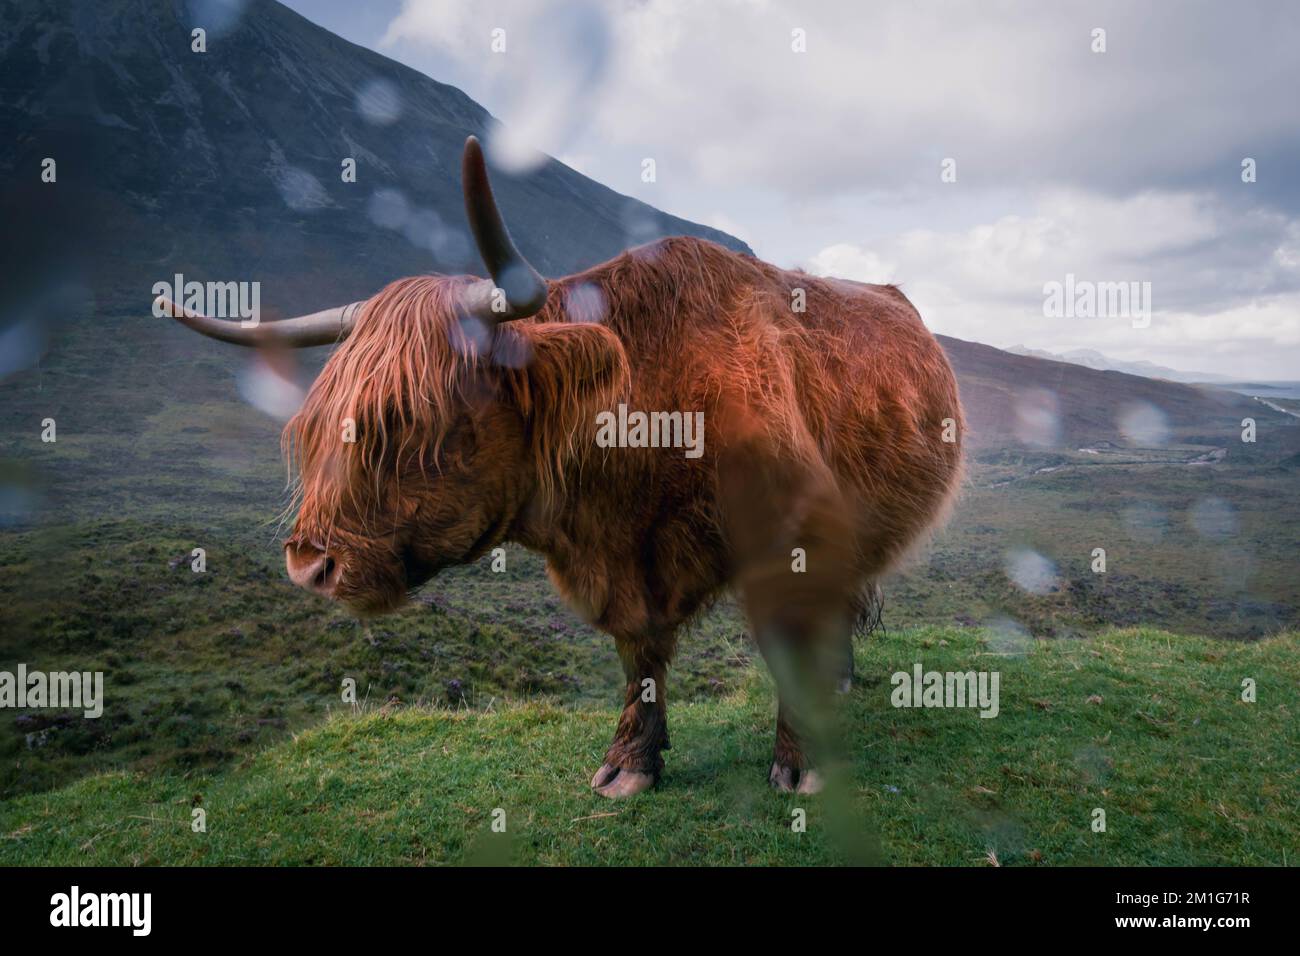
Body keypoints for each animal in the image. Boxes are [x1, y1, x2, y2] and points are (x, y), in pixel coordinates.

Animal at [158, 137, 964, 798]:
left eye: (415, 418)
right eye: (318, 425)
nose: (309, 564)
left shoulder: (791, 540)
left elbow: (788, 643)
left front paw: (801, 765)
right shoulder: (622, 569)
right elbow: (641, 658)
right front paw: (629, 766)